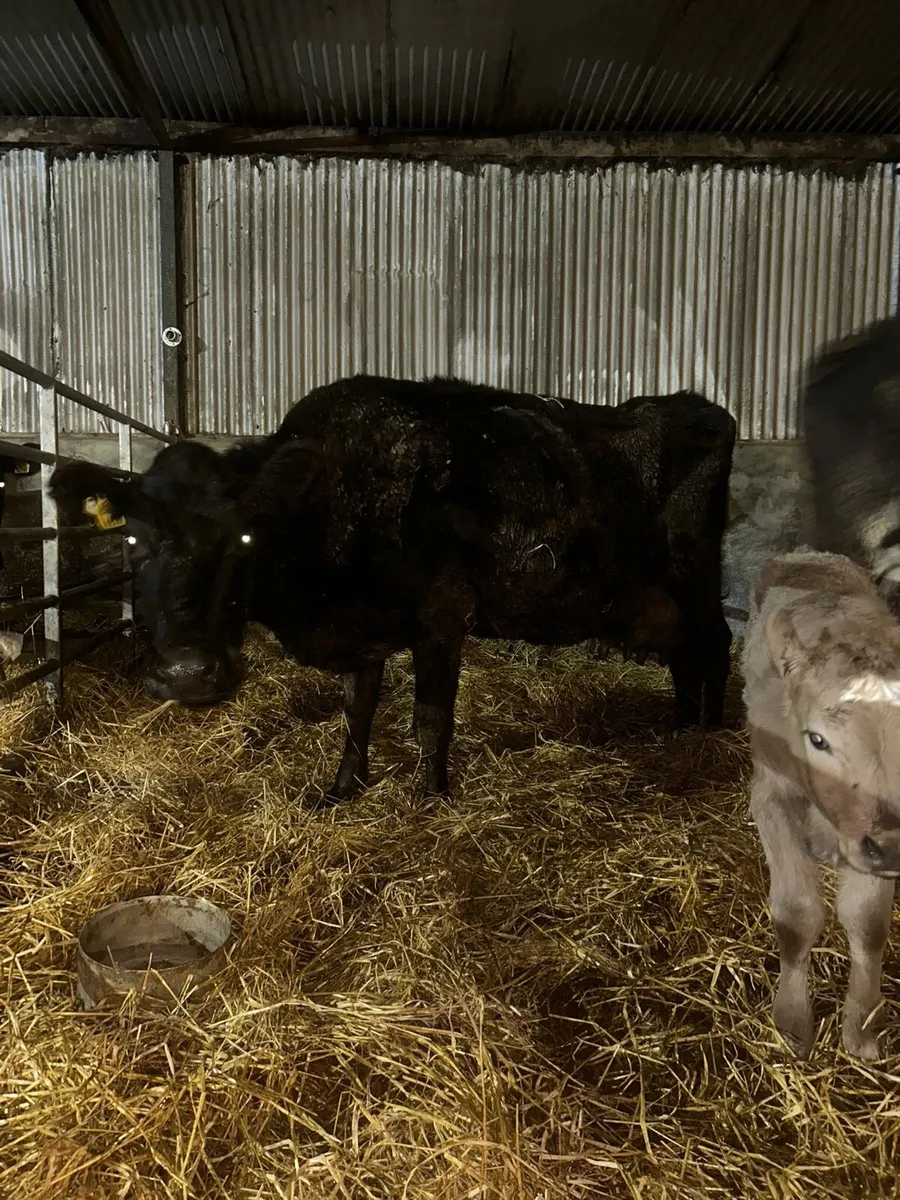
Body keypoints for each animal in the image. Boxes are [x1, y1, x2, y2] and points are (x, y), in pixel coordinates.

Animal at [50, 375, 735, 803]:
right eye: (134, 540)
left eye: (245, 539)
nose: (189, 674)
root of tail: (694, 405)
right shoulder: (364, 626)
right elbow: (359, 711)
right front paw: (342, 790)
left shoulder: (443, 615)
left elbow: (430, 720)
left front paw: (429, 802)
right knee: (684, 655)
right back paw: (680, 730)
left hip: (693, 571)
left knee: (716, 644)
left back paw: (708, 738)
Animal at [743, 548, 900, 1061]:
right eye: (817, 739)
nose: (890, 848)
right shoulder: (771, 798)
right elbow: (795, 916)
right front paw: (792, 1024)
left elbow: (868, 924)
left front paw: (863, 1028)